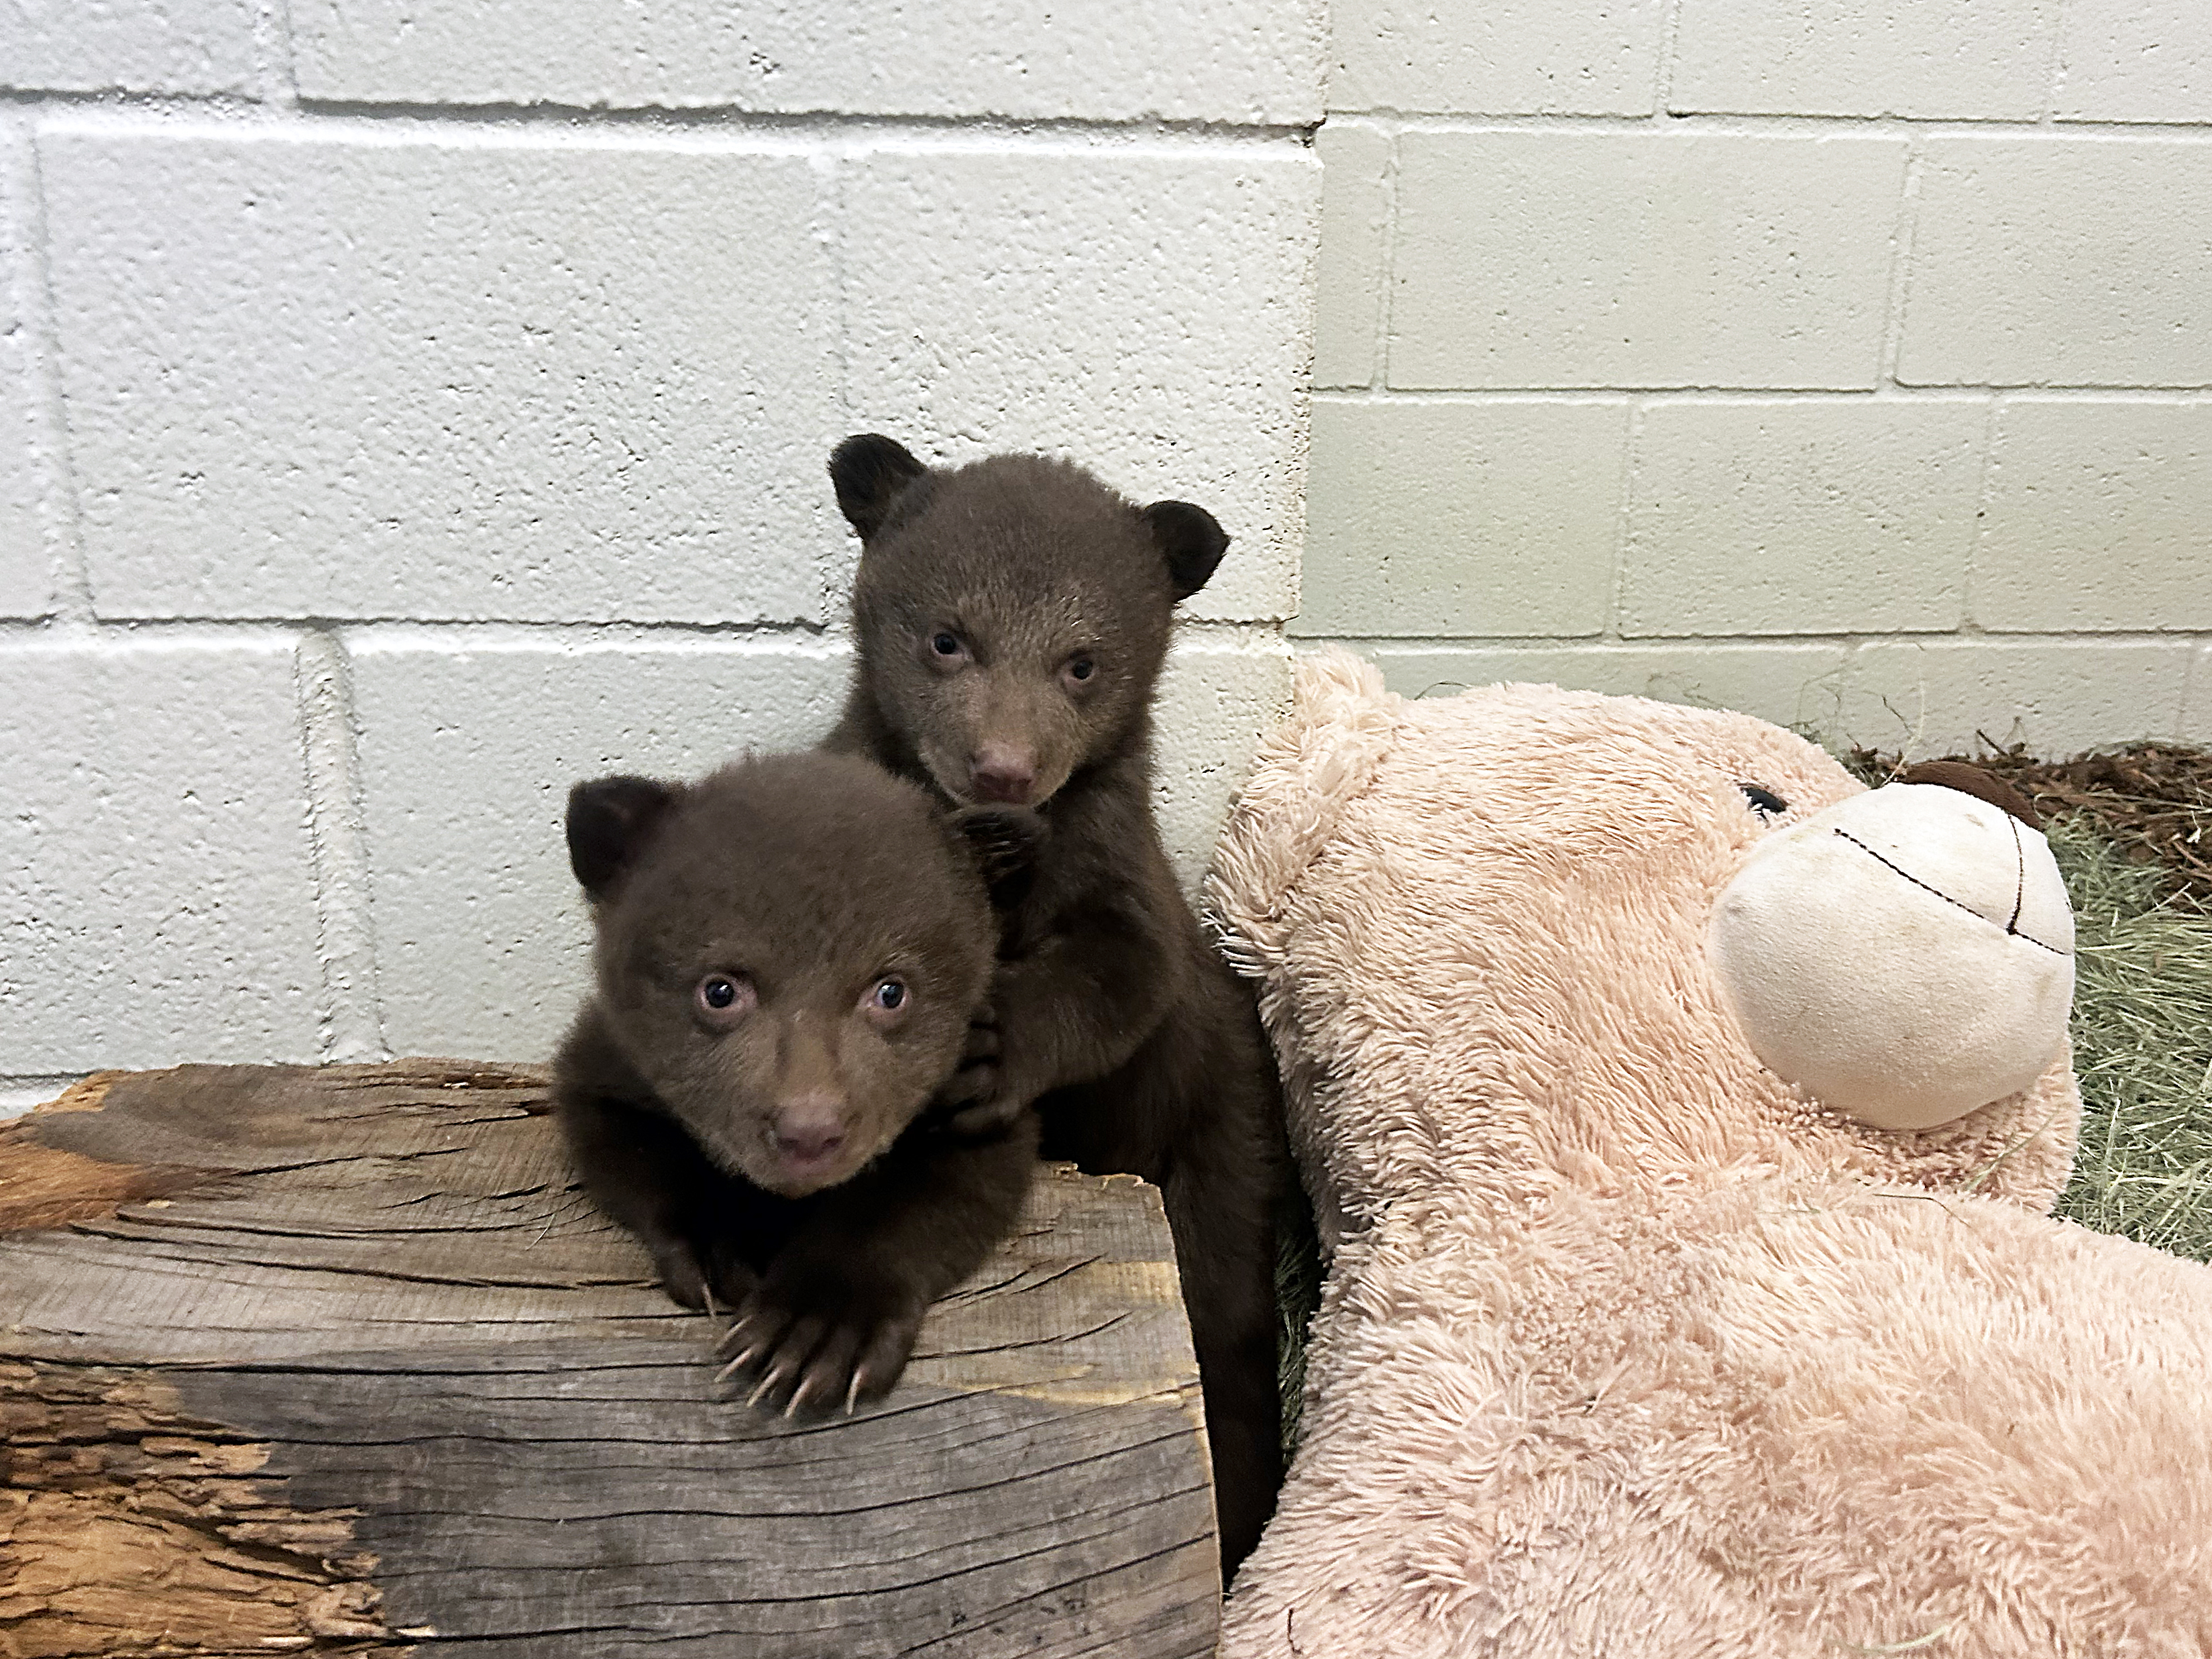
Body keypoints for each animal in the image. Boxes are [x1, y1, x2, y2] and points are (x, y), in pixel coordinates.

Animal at [553, 749, 1042, 1416]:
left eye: (891, 991)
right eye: (720, 989)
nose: (809, 1132)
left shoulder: (972, 1092)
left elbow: (943, 1188)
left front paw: (815, 1330)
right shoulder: (610, 1060)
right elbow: (621, 1138)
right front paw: (717, 1246)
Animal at [820, 433, 1287, 1576]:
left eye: (1082, 661)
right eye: (947, 638)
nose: (1003, 767)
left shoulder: (1119, 861)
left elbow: (1125, 970)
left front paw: (989, 1049)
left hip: (1223, 1136)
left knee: (1228, 1321)